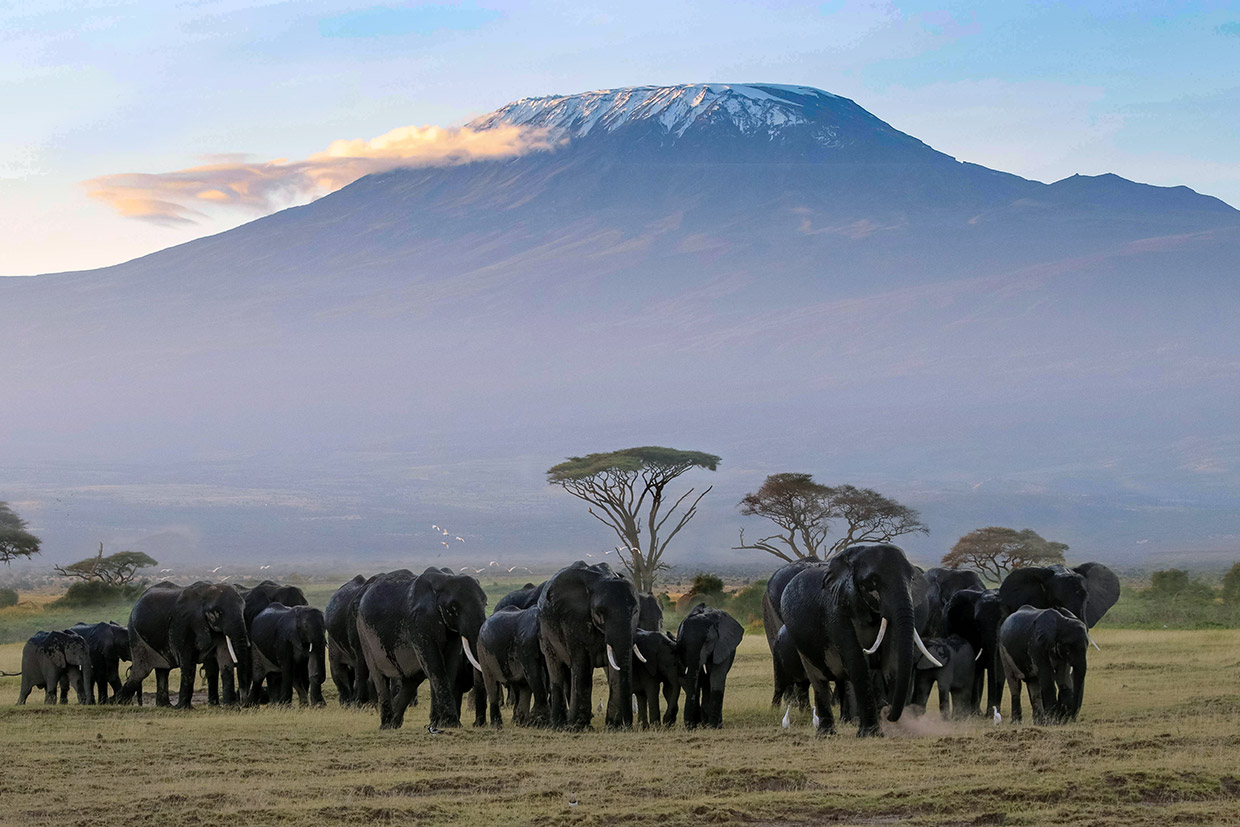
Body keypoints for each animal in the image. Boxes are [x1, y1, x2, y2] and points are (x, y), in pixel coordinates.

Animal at [115, 580, 252, 708]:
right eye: (217, 612)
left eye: (243, 609)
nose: (243, 703)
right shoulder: (184, 624)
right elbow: (188, 662)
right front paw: (184, 708)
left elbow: (225, 659)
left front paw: (231, 707)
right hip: (135, 634)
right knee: (141, 671)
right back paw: (116, 702)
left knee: (162, 670)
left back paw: (164, 705)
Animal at [356, 567, 488, 729]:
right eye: (453, 607)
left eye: (486, 603)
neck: (444, 581)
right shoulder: (419, 622)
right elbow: (435, 664)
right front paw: (452, 724)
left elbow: (450, 664)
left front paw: (440, 724)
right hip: (364, 634)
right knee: (379, 676)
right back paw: (386, 725)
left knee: (412, 679)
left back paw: (395, 723)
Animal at [538, 561, 639, 730]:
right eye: (600, 611)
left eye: (635, 611)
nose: (627, 724)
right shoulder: (573, 618)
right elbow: (582, 663)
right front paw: (578, 727)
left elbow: (614, 669)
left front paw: (615, 726)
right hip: (546, 633)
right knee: (556, 669)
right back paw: (559, 725)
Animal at [781, 543, 939, 737]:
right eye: (873, 581)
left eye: (911, 579)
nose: (888, 714)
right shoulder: (836, 611)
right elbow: (857, 663)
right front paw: (870, 734)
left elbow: (892, 663)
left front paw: (898, 731)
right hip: (800, 643)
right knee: (818, 679)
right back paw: (826, 734)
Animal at [945, 588, 1006, 716]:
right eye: (976, 622)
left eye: (1003, 620)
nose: (989, 714)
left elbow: (1000, 668)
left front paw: (995, 712)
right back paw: (973, 712)